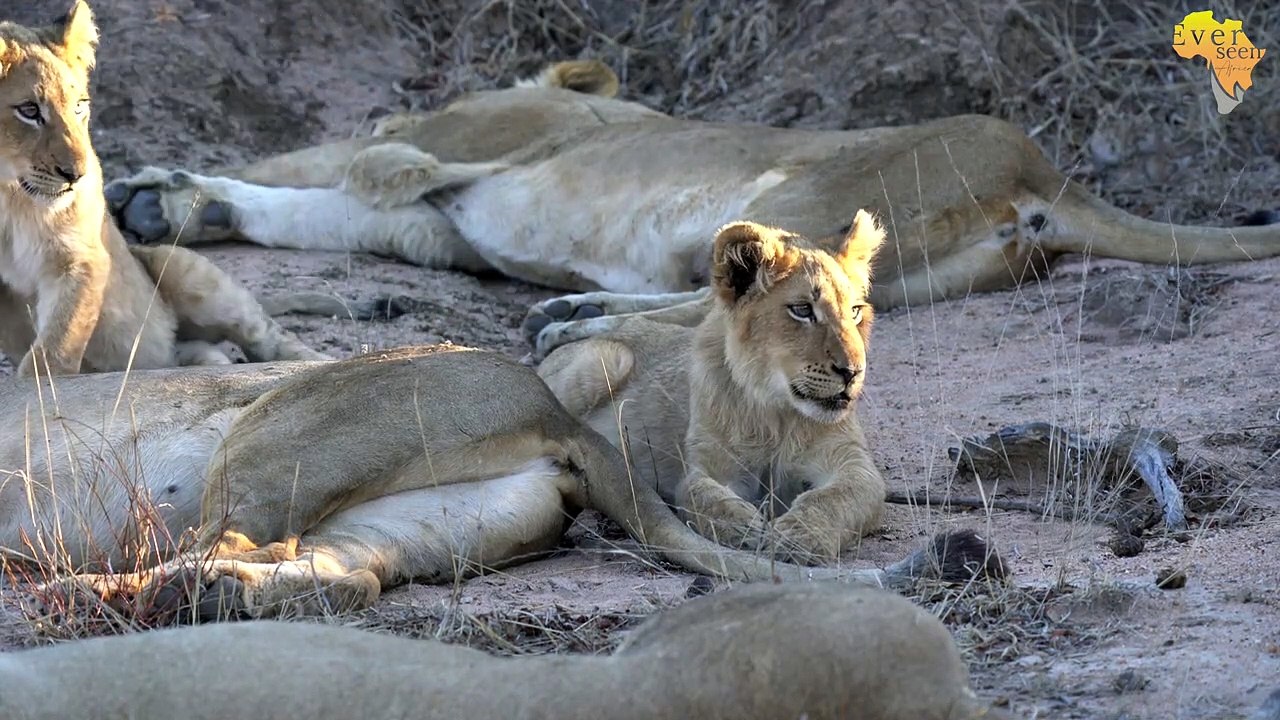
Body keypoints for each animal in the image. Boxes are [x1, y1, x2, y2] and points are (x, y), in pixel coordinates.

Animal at [0, 2, 324, 376]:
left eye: (79, 106)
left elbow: (56, 347)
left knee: (267, 337)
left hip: (184, 267)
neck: (9, 196)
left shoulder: (81, 258)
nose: (76, 175)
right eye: (29, 110)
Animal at [3, 344, 1002, 623]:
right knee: (340, 576)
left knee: (247, 543)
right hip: (410, 521)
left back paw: (74, 596)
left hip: (272, 431)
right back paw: (173, 599)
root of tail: (560, 415)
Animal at [535, 214, 887, 564]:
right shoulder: (708, 465)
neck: (775, 410)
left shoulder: (852, 462)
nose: (852, 372)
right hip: (605, 360)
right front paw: (745, 531)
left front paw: (799, 537)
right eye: (801, 310)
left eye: (854, 311)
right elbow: (704, 497)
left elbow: (837, 496)